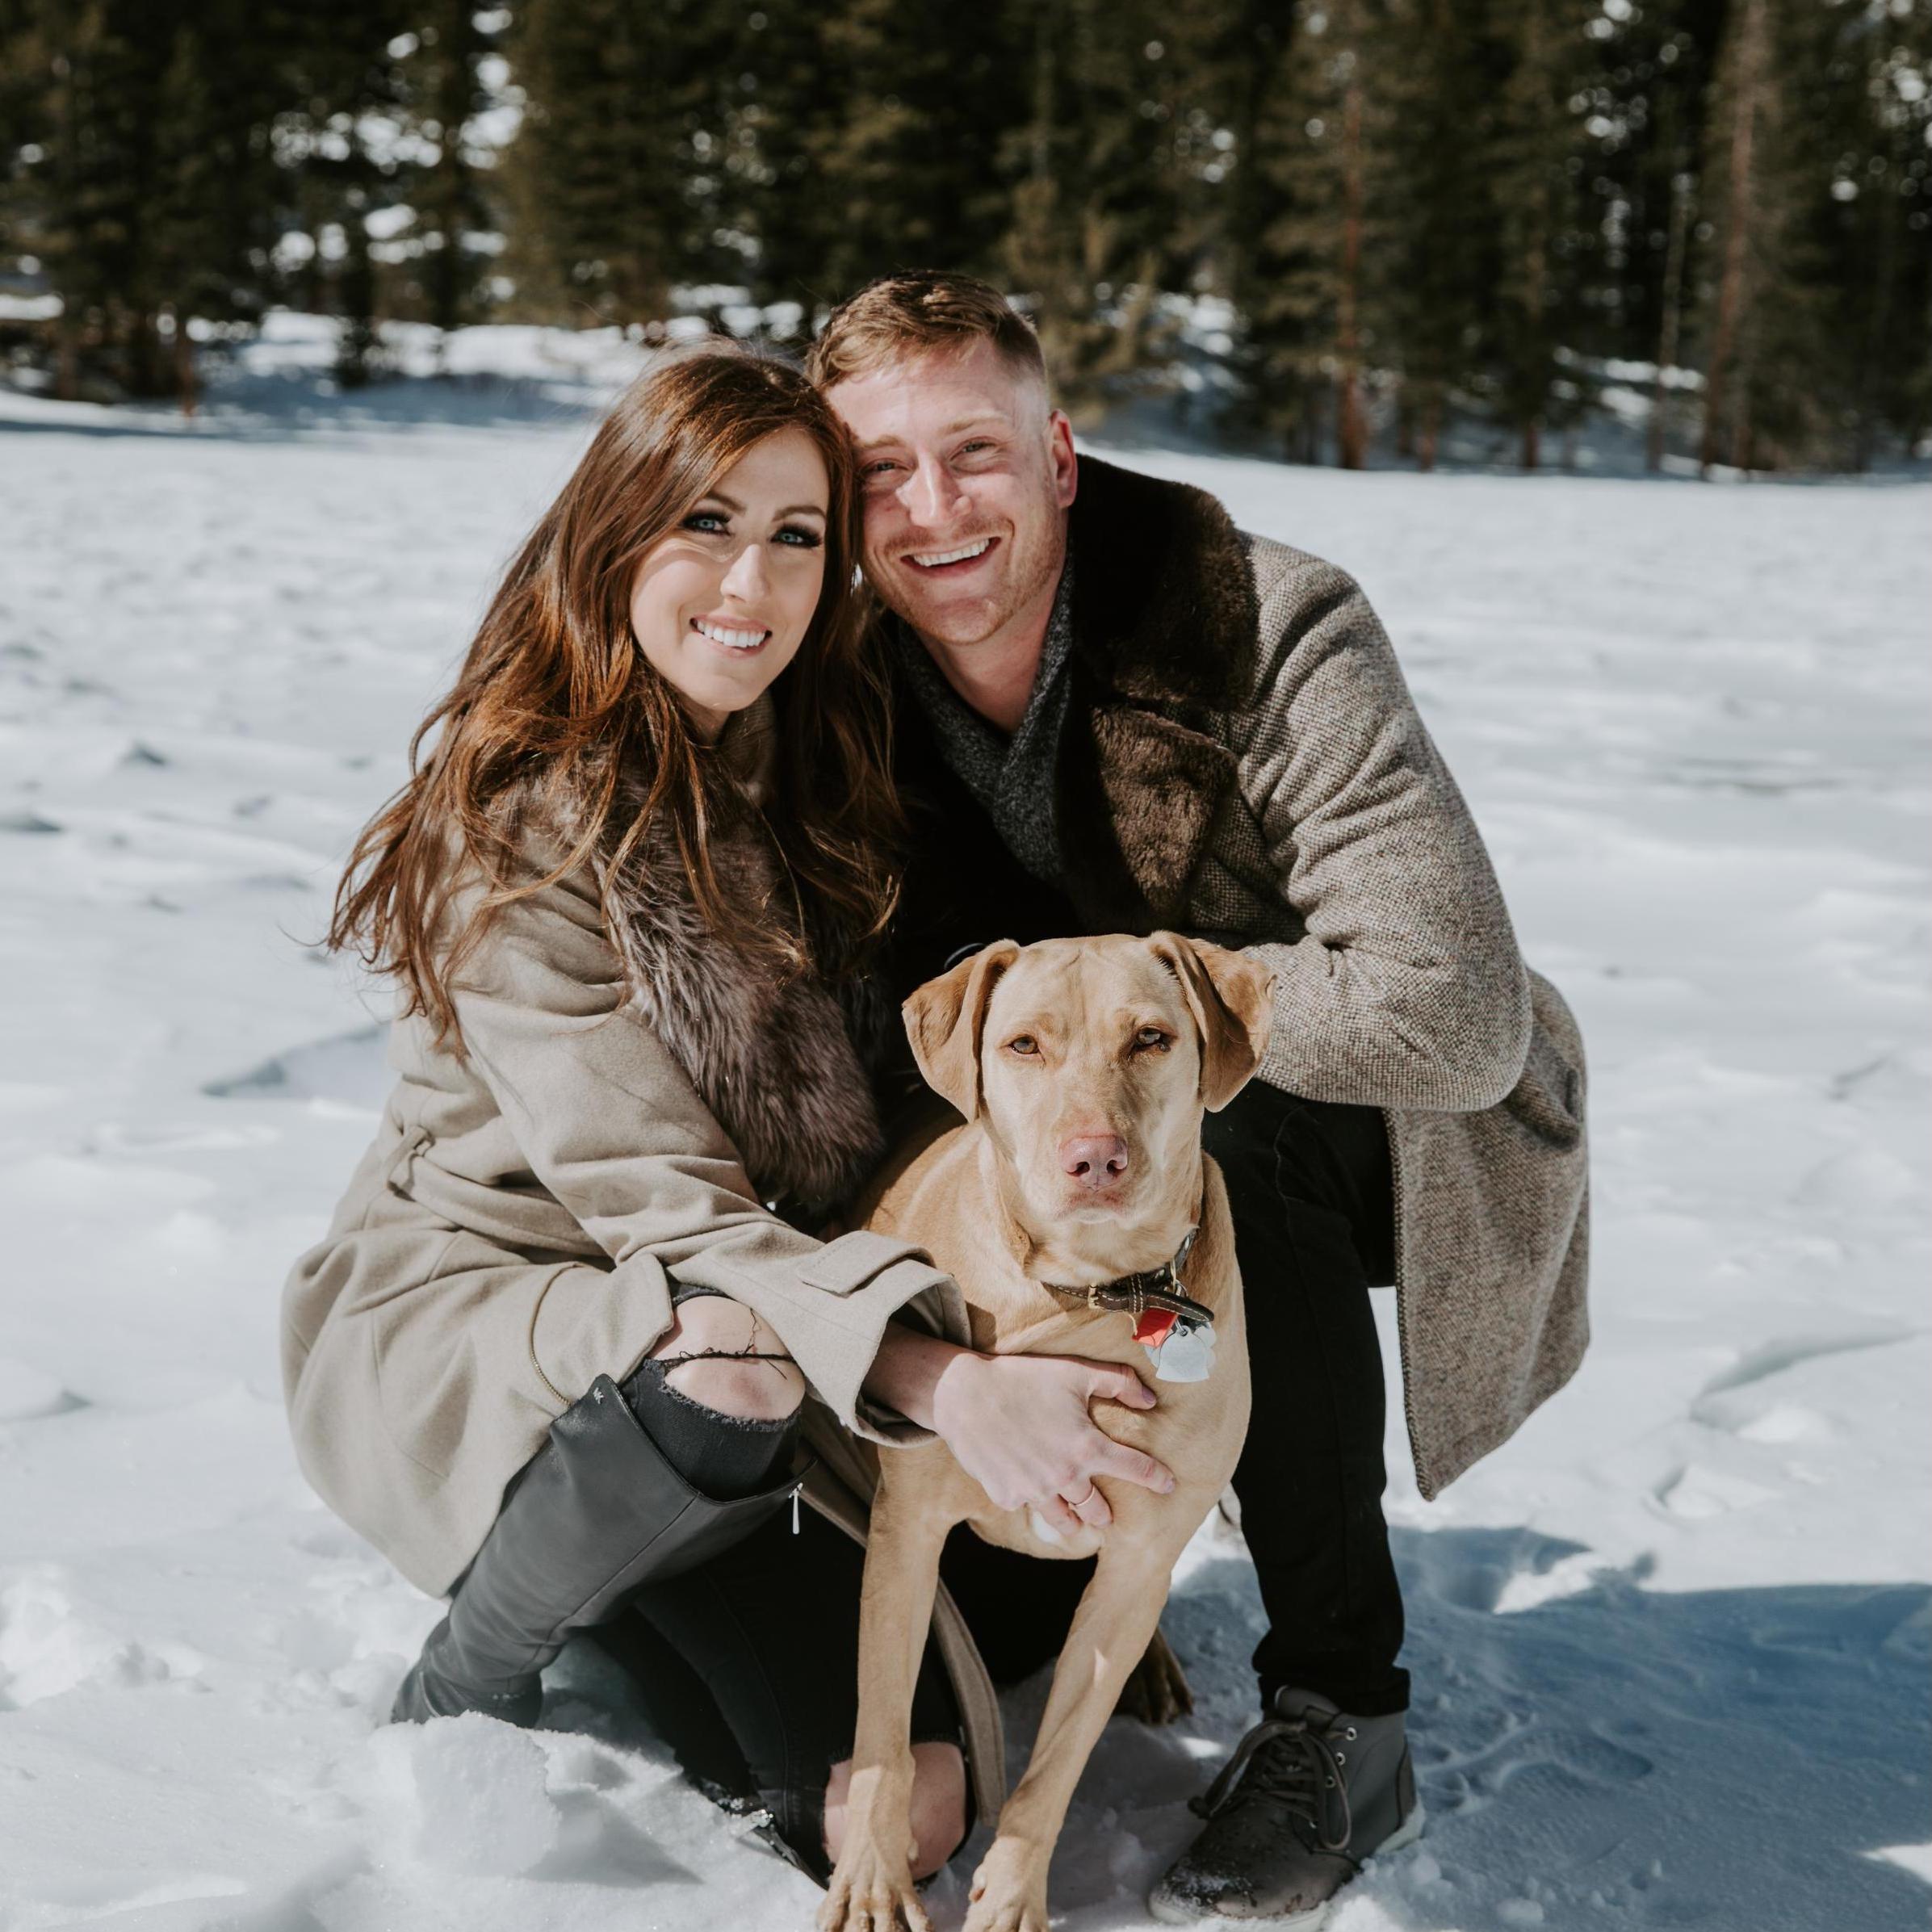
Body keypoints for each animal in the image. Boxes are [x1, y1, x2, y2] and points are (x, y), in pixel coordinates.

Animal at [820, 931, 1275, 1932]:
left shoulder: (1135, 1557)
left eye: (1150, 1037)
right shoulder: (905, 1535)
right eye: (1023, 1044)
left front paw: (1012, 1890)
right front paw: (872, 1878)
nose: (1093, 1157)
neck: (1096, 1291)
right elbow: (882, 1728)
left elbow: (1058, 1758)